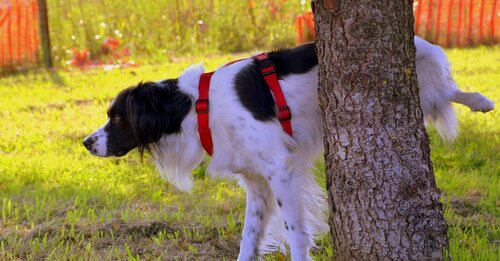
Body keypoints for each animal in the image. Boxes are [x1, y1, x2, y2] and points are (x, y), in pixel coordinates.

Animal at [84, 37, 494, 260]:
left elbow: (296, 231)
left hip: (424, 73)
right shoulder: (256, 182)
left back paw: (481, 100)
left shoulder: (281, 171)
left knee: (448, 89)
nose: (86, 142)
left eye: (117, 118)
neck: (198, 106)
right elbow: (249, 239)